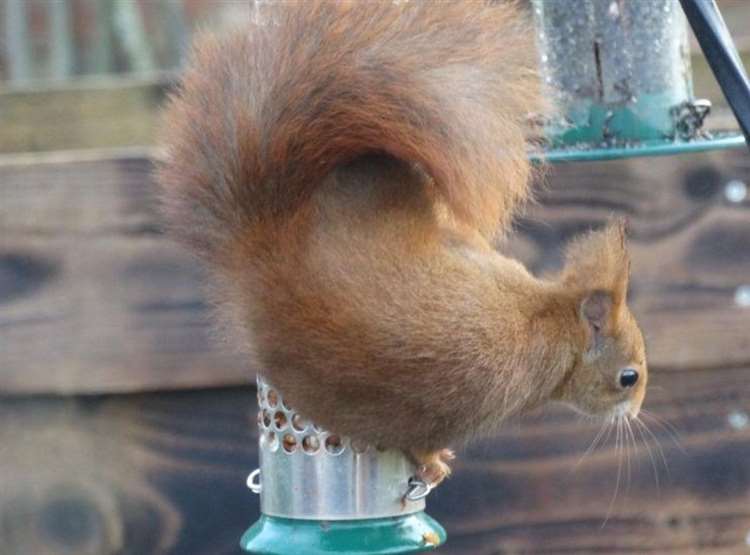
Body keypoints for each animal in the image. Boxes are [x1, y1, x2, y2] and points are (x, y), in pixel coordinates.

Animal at [157, 1, 648, 486]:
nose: (636, 412)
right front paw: (433, 466)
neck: (553, 319)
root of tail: (267, 245)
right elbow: (424, 440)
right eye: (628, 377)